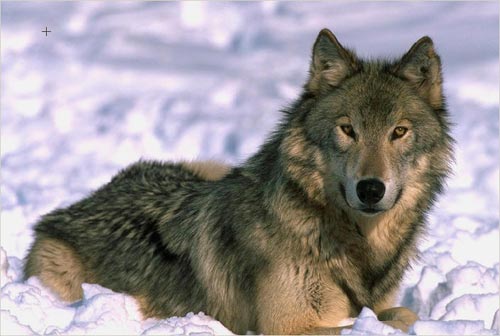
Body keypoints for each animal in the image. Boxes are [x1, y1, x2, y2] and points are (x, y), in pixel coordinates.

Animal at [22, 28, 454, 334]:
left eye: (399, 132)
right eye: (348, 130)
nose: (370, 189)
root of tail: (72, 208)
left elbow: (398, 312)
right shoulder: (289, 327)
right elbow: (399, 318)